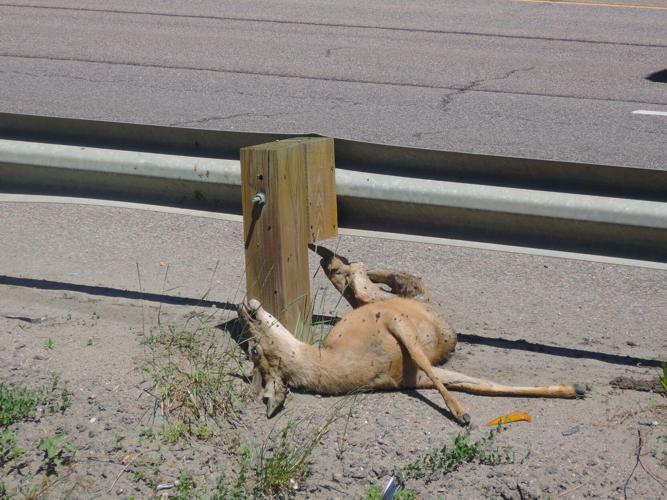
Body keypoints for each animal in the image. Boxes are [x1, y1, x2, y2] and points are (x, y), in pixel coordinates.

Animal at [237, 244, 586, 426]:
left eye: (253, 351)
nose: (243, 306)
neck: (331, 360)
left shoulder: (395, 325)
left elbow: (483, 384)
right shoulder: (409, 367)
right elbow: (480, 386)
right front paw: (462, 413)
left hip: (392, 302)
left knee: (362, 275)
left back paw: (331, 255)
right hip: (407, 301)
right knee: (368, 279)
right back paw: (332, 258)